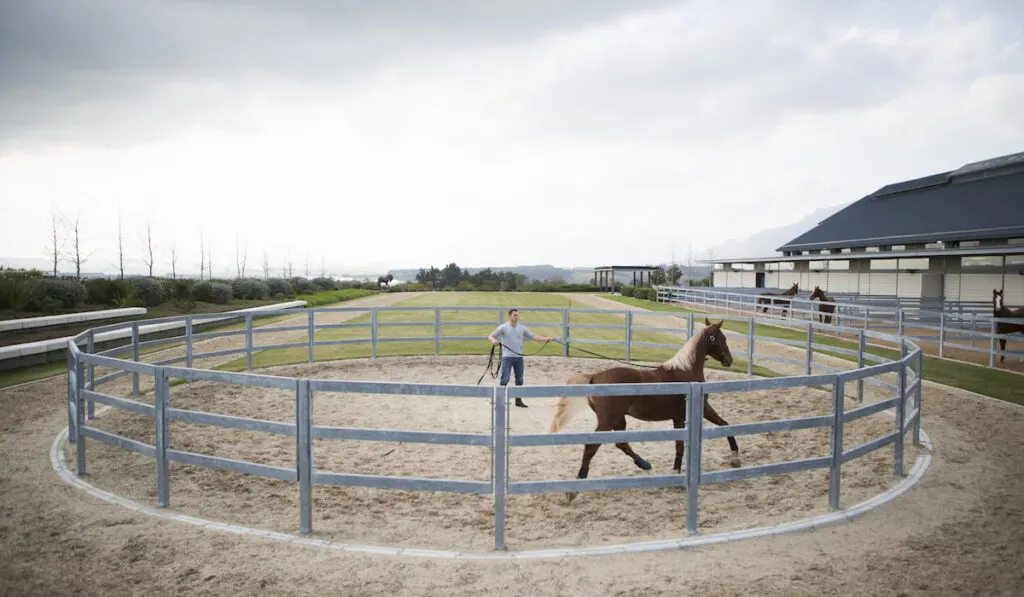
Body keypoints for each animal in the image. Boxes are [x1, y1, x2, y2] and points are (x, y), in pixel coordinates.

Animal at [548, 319, 741, 501]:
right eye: (722, 338)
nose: (729, 360)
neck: (686, 371)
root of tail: (595, 377)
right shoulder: (702, 409)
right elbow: (725, 425)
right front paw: (736, 458)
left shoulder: (678, 417)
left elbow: (680, 445)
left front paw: (675, 474)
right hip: (608, 421)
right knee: (591, 447)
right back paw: (574, 490)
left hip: (619, 420)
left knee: (621, 444)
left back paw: (645, 465)